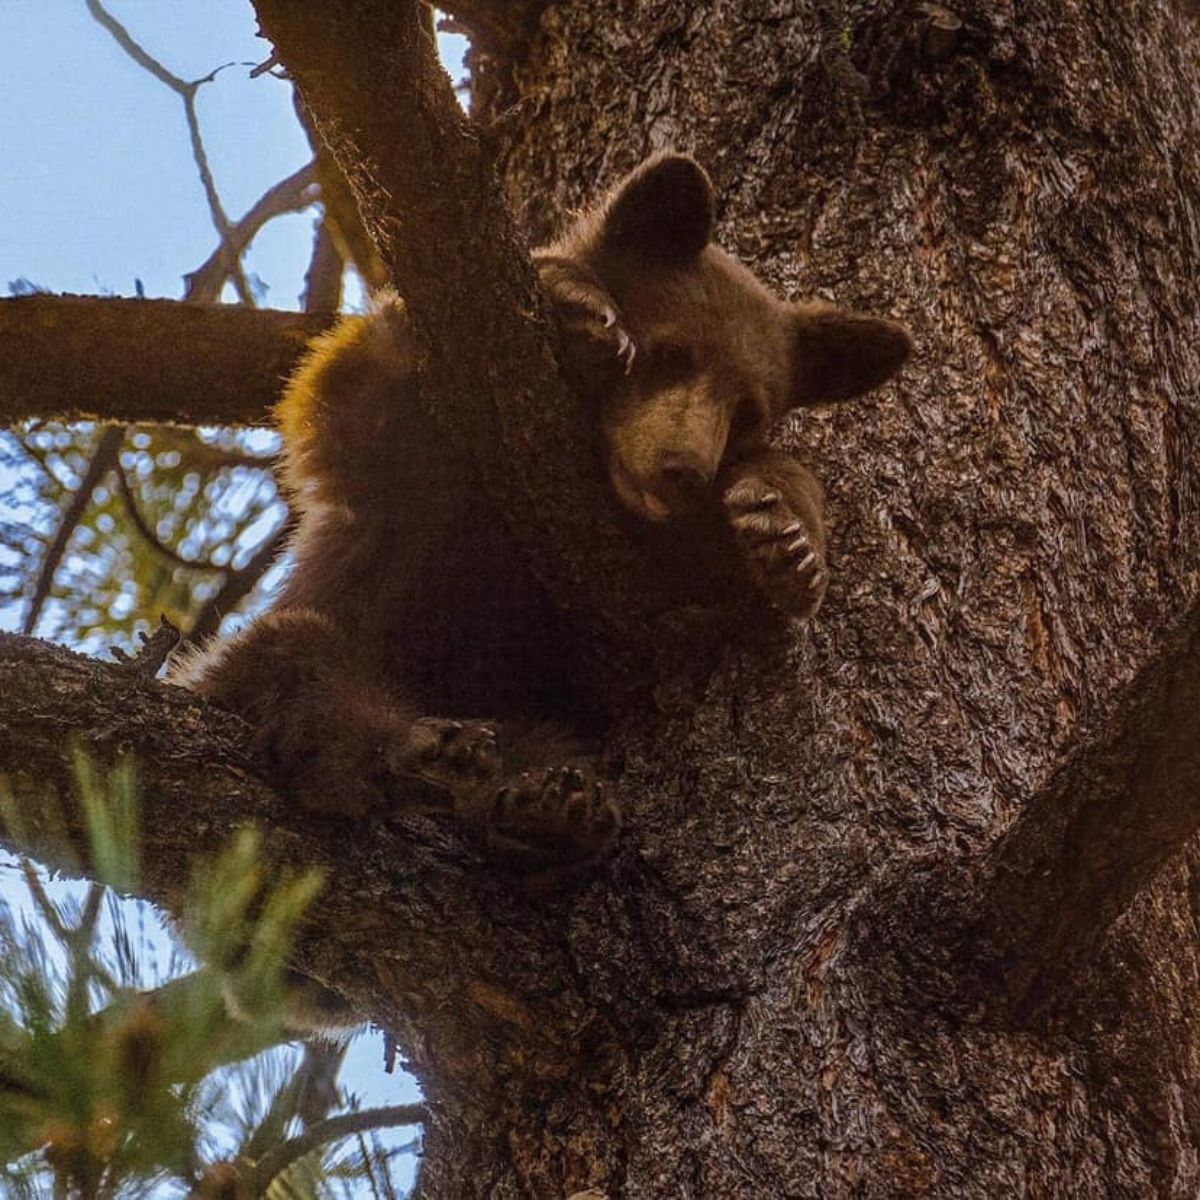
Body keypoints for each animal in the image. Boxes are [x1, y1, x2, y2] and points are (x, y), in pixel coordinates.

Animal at [171, 152, 911, 880]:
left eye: (748, 411)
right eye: (671, 352)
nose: (682, 472)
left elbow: (726, 570)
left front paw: (785, 537)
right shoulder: (403, 473)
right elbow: (351, 389)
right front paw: (578, 304)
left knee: (548, 748)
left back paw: (548, 807)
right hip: (262, 658)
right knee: (303, 656)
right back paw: (414, 750)